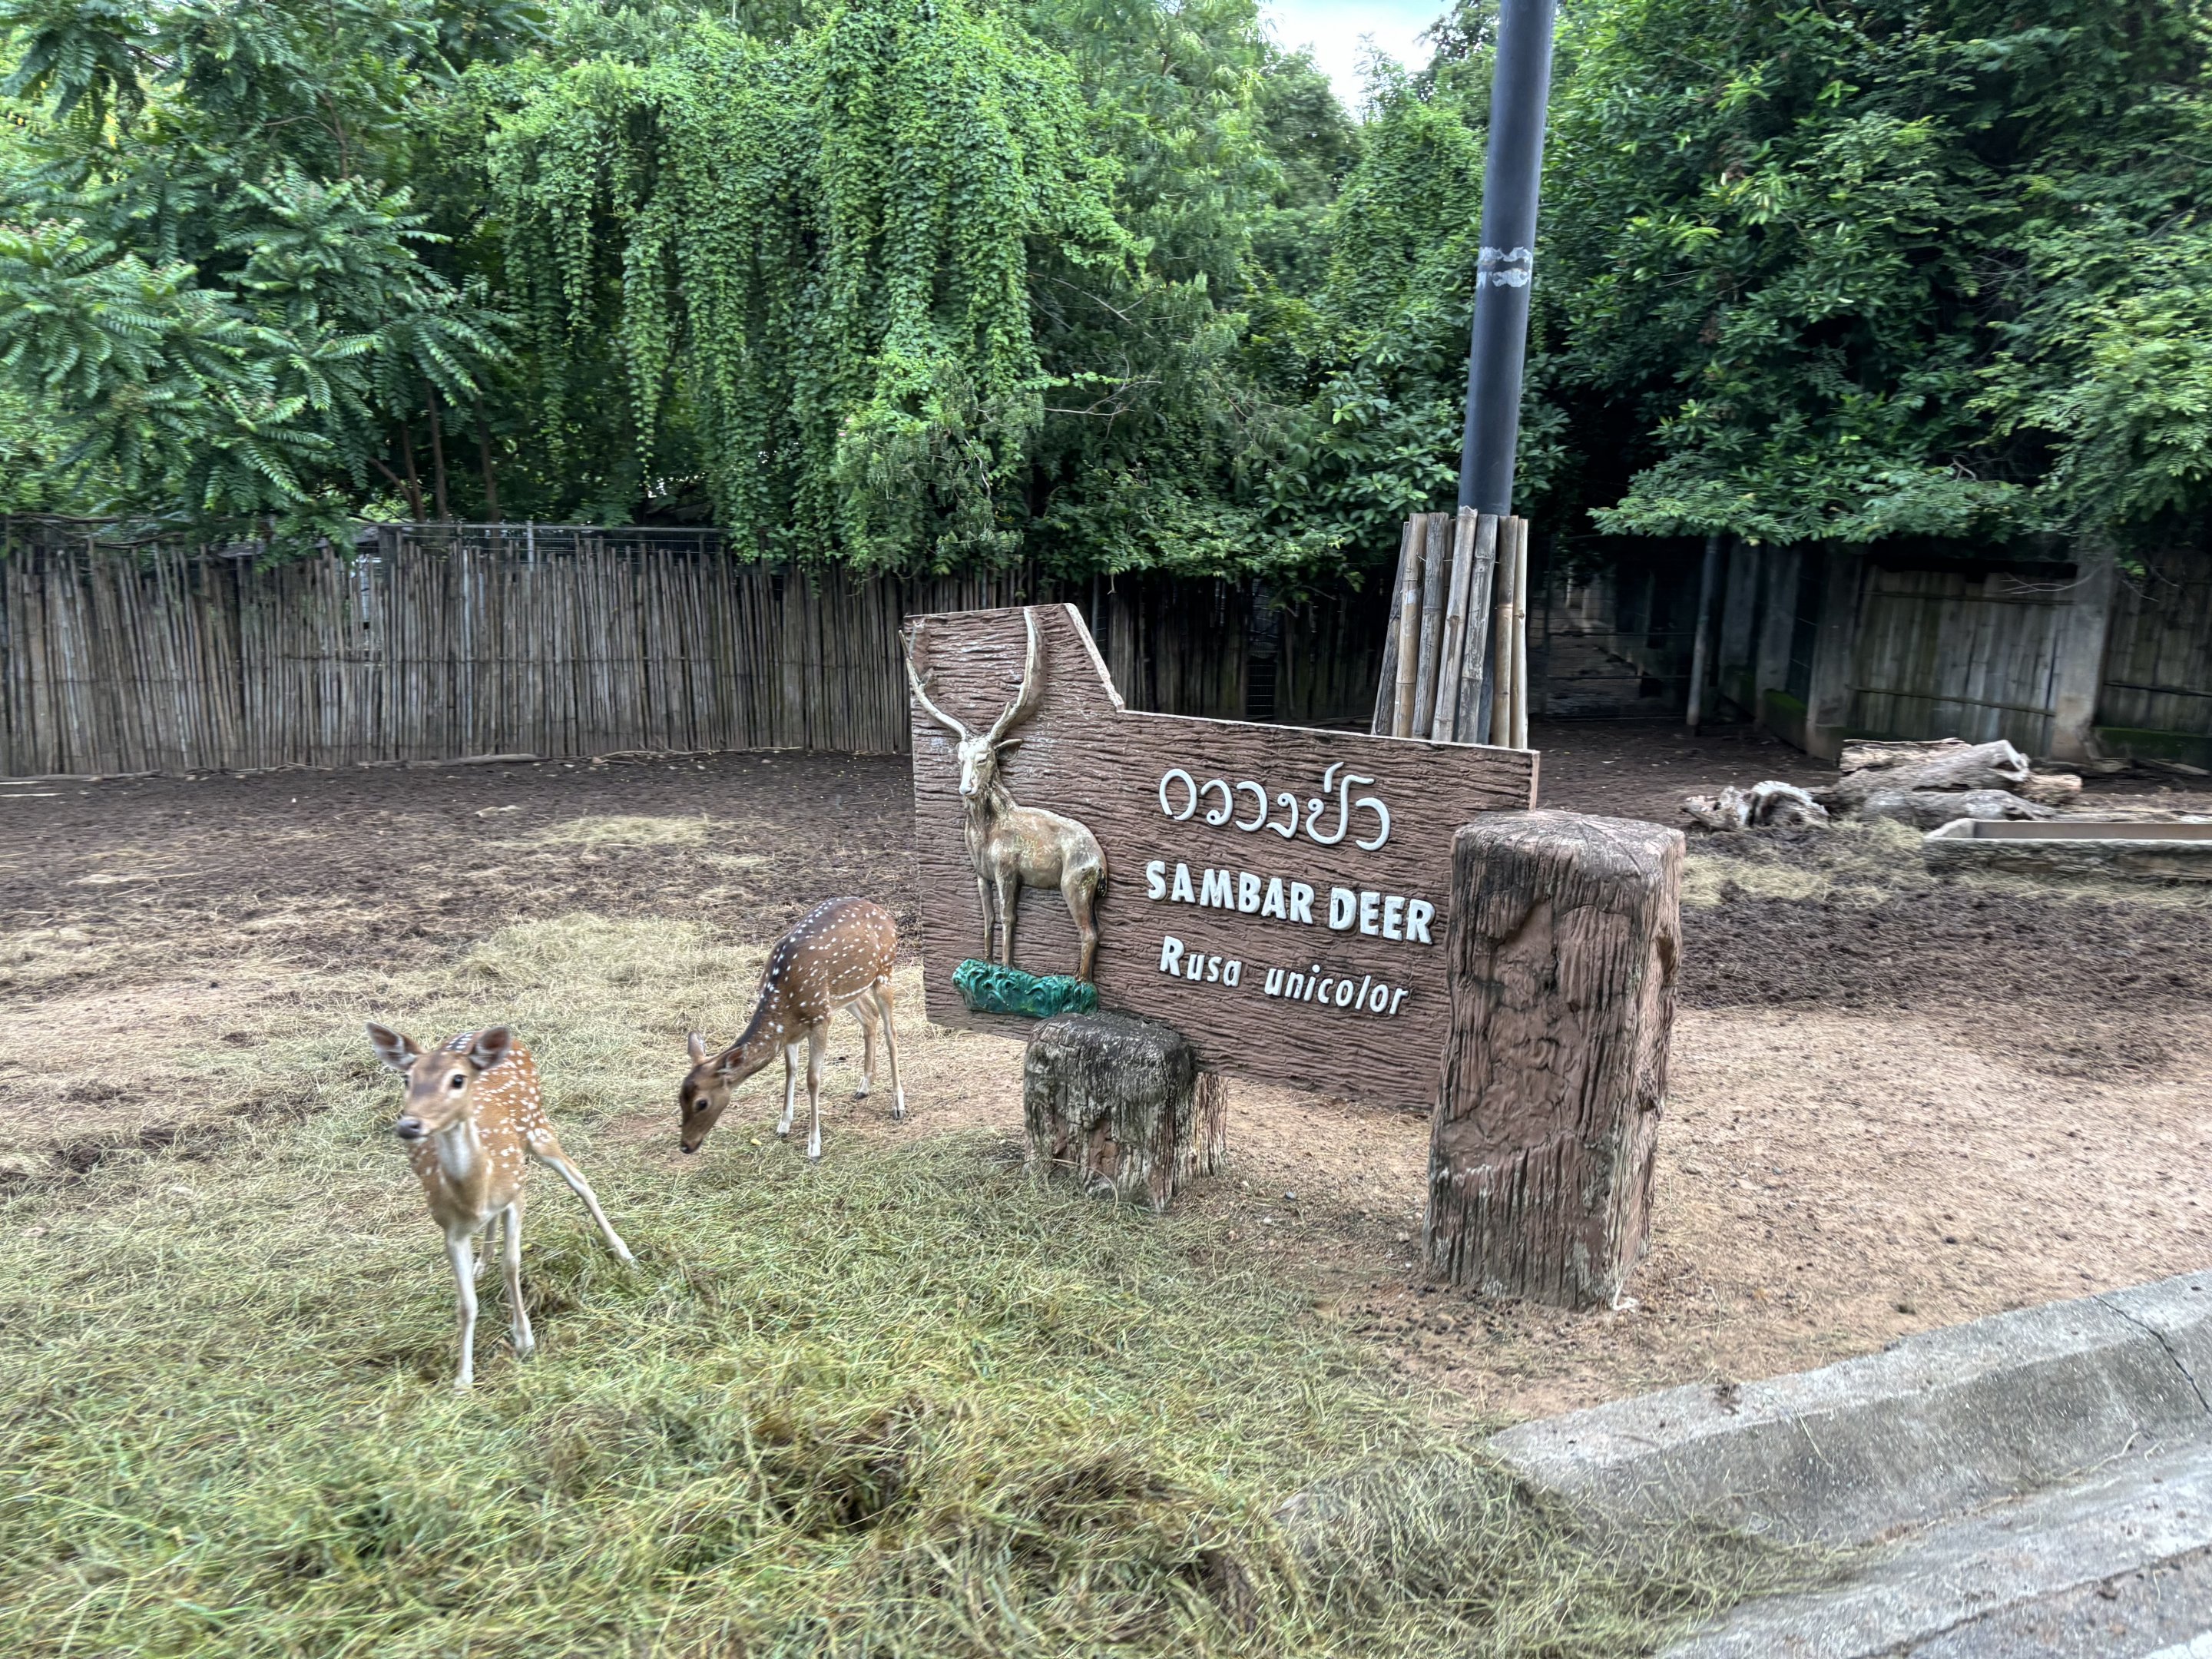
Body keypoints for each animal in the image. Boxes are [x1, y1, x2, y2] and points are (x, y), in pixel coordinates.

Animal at [365, 1023, 634, 1391]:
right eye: (407, 1078)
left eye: (458, 1079)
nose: (409, 1125)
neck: (474, 1193)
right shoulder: (447, 1226)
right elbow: (466, 1303)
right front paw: (463, 1378)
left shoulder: (516, 1196)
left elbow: (512, 1265)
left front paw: (524, 1340)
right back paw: (482, 1262)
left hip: (538, 1127)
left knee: (581, 1182)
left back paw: (623, 1252)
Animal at [679, 895, 907, 1163]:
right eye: (679, 1097)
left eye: (701, 1103)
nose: (685, 1145)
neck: (784, 1002)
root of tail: (883, 912)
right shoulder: (791, 1033)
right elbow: (790, 1071)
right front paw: (783, 1126)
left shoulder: (820, 1019)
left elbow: (813, 1079)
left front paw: (814, 1146)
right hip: (846, 993)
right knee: (870, 1017)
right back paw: (863, 1087)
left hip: (884, 972)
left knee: (891, 1032)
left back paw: (898, 1105)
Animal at [903, 606, 1107, 981]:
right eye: (960, 757)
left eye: (986, 758)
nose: (966, 787)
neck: (983, 837)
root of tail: (1101, 866)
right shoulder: (980, 872)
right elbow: (986, 916)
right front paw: (984, 962)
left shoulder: (1008, 868)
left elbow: (1010, 916)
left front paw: (1007, 968)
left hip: (1075, 884)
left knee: (1089, 933)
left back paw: (1079, 982)